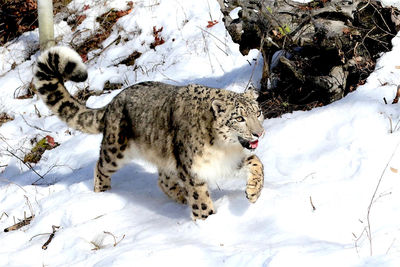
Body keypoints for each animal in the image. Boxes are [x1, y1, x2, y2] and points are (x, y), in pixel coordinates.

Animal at [33, 46, 266, 222]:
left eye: (258, 112)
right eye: (239, 118)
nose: (259, 133)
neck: (224, 148)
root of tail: (113, 101)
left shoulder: (230, 160)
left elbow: (257, 162)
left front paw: (253, 192)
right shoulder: (192, 171)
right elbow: (200, 198)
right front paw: (207, 221)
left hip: (166, 157)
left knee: (163, 180)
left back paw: (180, 196)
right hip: (116, 150)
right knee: (101, 166)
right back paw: (103, 193)